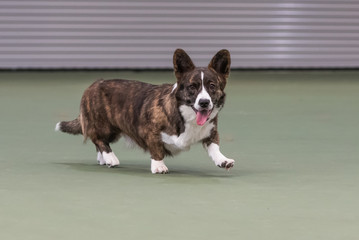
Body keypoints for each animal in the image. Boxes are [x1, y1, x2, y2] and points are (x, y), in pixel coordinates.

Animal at [55, 48, 236, 173]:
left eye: (212, 86)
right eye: (192, 87)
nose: (204, 103)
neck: (186, 116)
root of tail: (92, 85)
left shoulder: (210, 133)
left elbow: (214, 148)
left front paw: (223, 160)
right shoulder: (150, 132)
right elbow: (156, 150)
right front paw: (158, 166)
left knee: (98, 142)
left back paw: (103, 159)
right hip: (104, 126)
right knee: (98, 139)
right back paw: (110, 158)